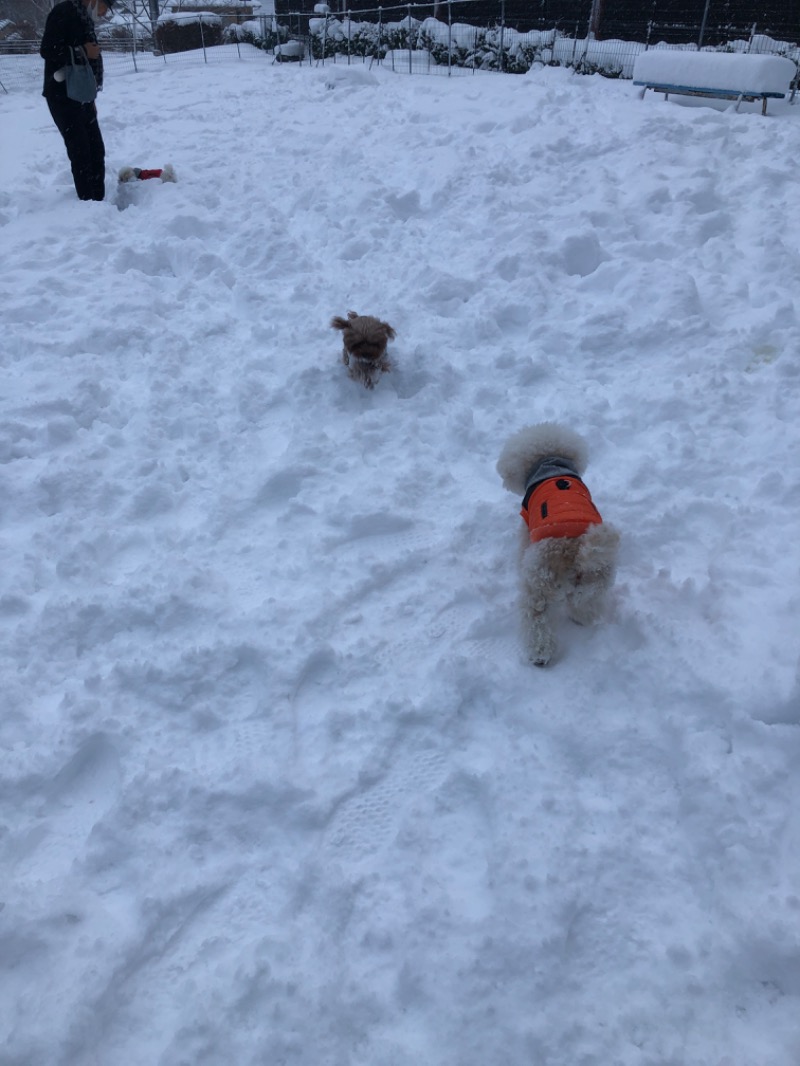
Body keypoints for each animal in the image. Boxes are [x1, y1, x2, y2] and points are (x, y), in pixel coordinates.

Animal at [499, 420, 622, 660]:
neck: (550, 462)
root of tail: (576, 553)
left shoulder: (526, 525)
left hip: (538, 581)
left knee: (536, 617)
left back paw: (539, 654)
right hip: (596, 581)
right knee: (584, 602)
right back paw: (581, 617)